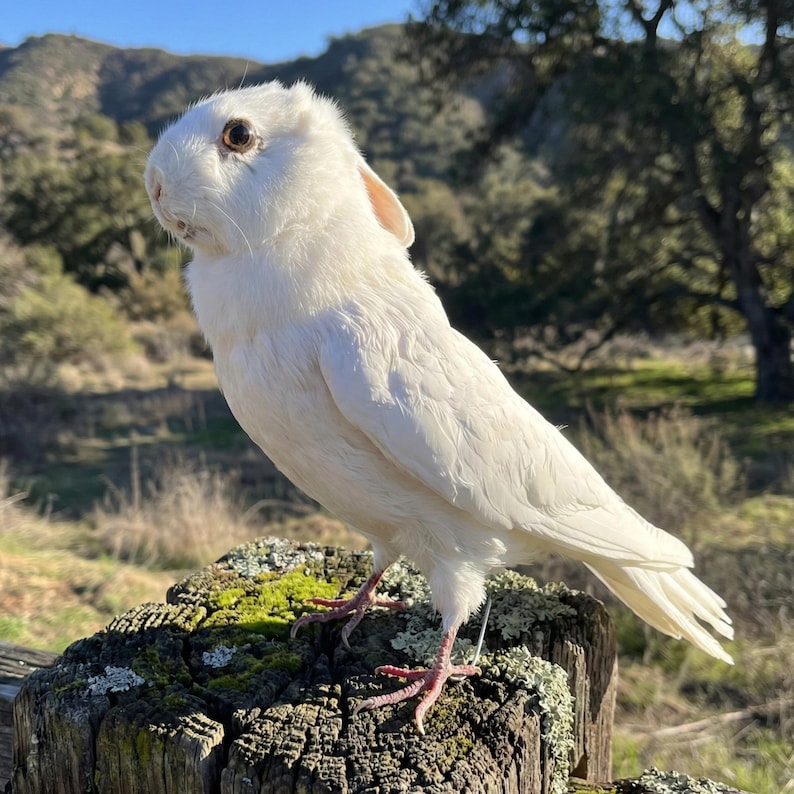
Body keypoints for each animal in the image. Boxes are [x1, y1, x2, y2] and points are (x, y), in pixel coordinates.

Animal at [145, 80, 732, 734]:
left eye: (238, 134)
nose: (154, 184)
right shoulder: (383, 527)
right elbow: (377, 566)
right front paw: (342, 608)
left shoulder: (455, 555)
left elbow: (452, 618)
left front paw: (423, 686)